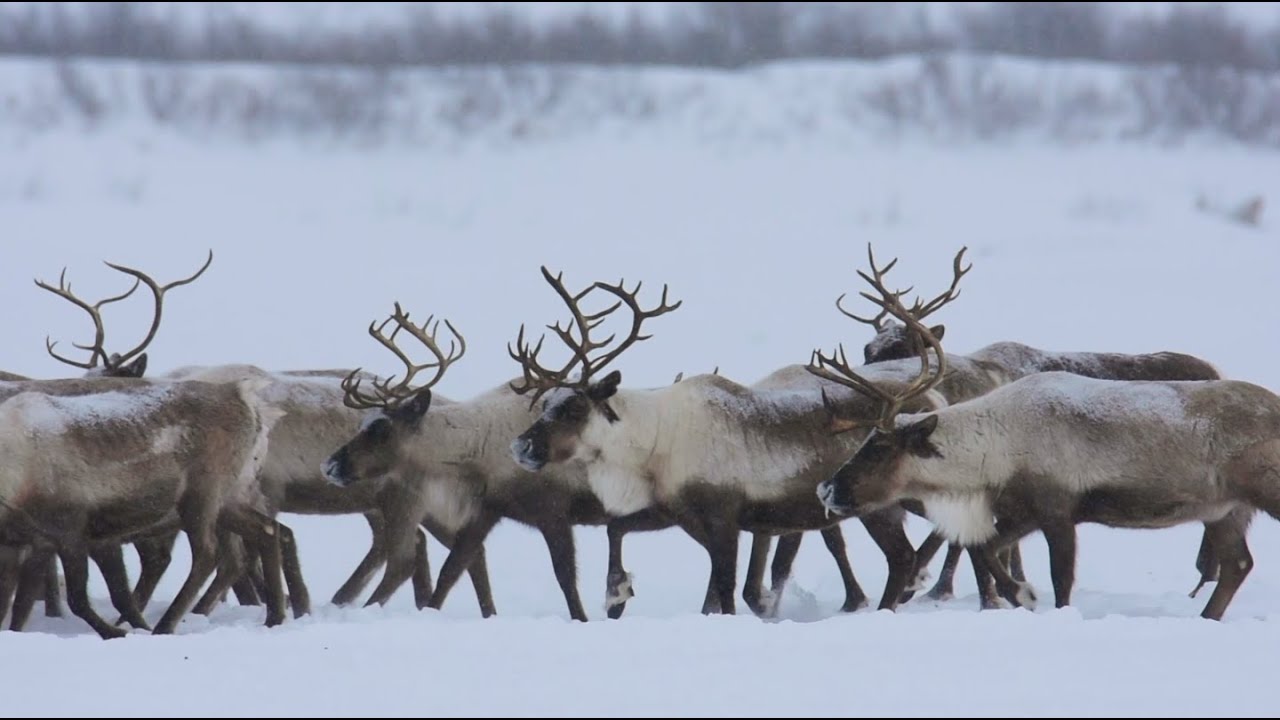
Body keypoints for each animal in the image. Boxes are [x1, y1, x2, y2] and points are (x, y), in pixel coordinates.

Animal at [322, 302, 608, 621]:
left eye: (381, 429)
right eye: (363, 423)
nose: (331, 466)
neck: (481, 450)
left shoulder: (553, 511)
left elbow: (566, 577)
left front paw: (581, 619)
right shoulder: (485, 511)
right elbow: (452, 569)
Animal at [815, 262, 1280, 621]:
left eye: (880, 448)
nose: (827, 488)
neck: (995, 448)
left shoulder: (1058, 510)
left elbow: (1060, 580)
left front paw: (1034, 598)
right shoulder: (1022, 510)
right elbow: (986, 549)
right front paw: (1022, 594)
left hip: (1262, 491)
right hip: (1226, 508)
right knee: (1238, 564)